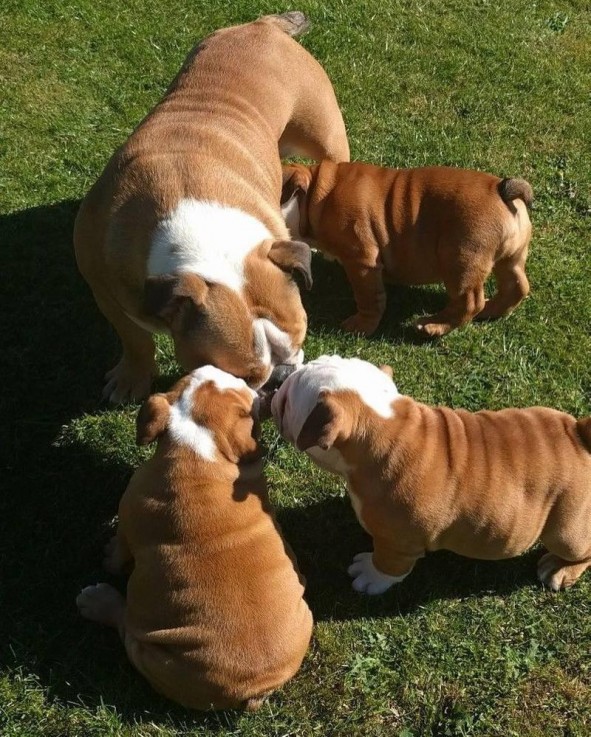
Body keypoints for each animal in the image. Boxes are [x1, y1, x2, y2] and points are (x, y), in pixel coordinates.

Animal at [74, 11, 352, 402]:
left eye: (299, 340)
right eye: (243, 375)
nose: (280, 377)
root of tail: (263, 25)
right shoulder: (106, 289)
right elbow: (135, 338)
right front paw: (133, 377)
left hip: (325, 135)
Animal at [77, 366, 314, 712]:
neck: (201, 444)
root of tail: (253, 689)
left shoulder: (127, 517)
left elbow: (120, 550)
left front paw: (109, 557)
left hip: (149, 649)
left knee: (125, 626)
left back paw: (98, 601)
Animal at [272, 356, 591, 592]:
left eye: (287, 400)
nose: (278, 382)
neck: (391, 430)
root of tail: (579, 434)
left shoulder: (399, 541)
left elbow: (389, 565)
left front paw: (370, 576)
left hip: (567, 531)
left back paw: (560, 570)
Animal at [280, 162, 536, 336]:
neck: (316, 194)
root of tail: (501, 191)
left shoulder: (361, 261)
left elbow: (368, 297)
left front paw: (361, 325)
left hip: (460, 259)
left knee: (469, 301)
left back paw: (433, 325)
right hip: (511, 257)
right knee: (516, 285)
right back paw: (492, 310)